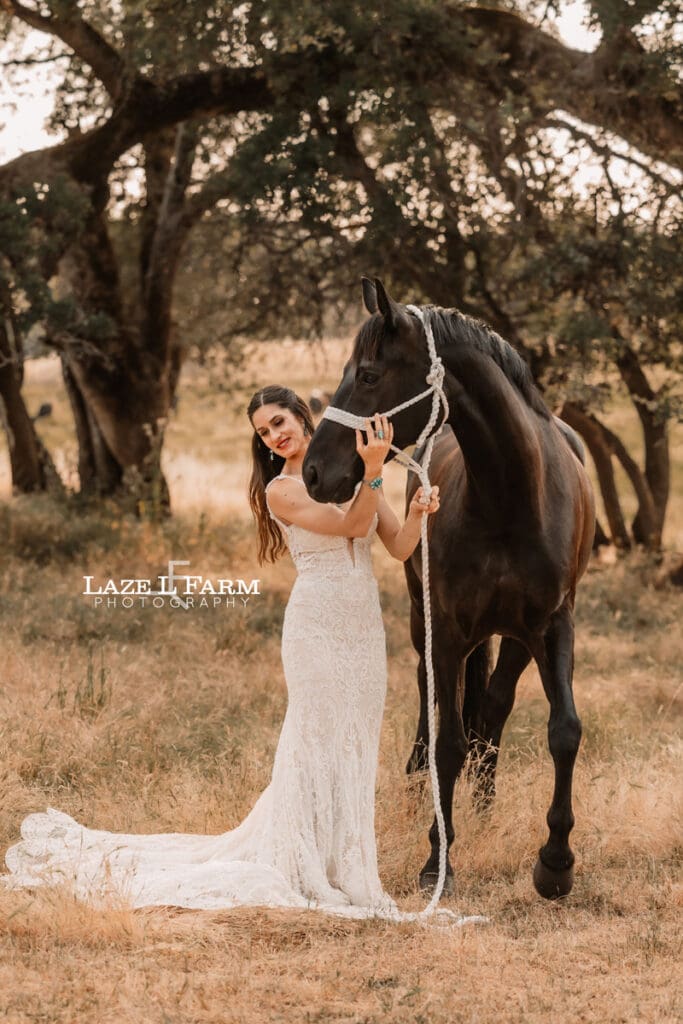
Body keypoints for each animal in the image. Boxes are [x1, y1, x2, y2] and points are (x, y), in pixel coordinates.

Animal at [302, 277, 595, 900]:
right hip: (424, 617)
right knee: (426, 691)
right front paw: (437, 858)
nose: (313, 473)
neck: (511, 497)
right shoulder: (452, 629)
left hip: (514, 639)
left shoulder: (553, 626)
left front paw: (556, 863)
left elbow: (563, 731)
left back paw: (485, 797)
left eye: (369, 375)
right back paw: (421, 786)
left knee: (496, 703)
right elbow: (449, 740)